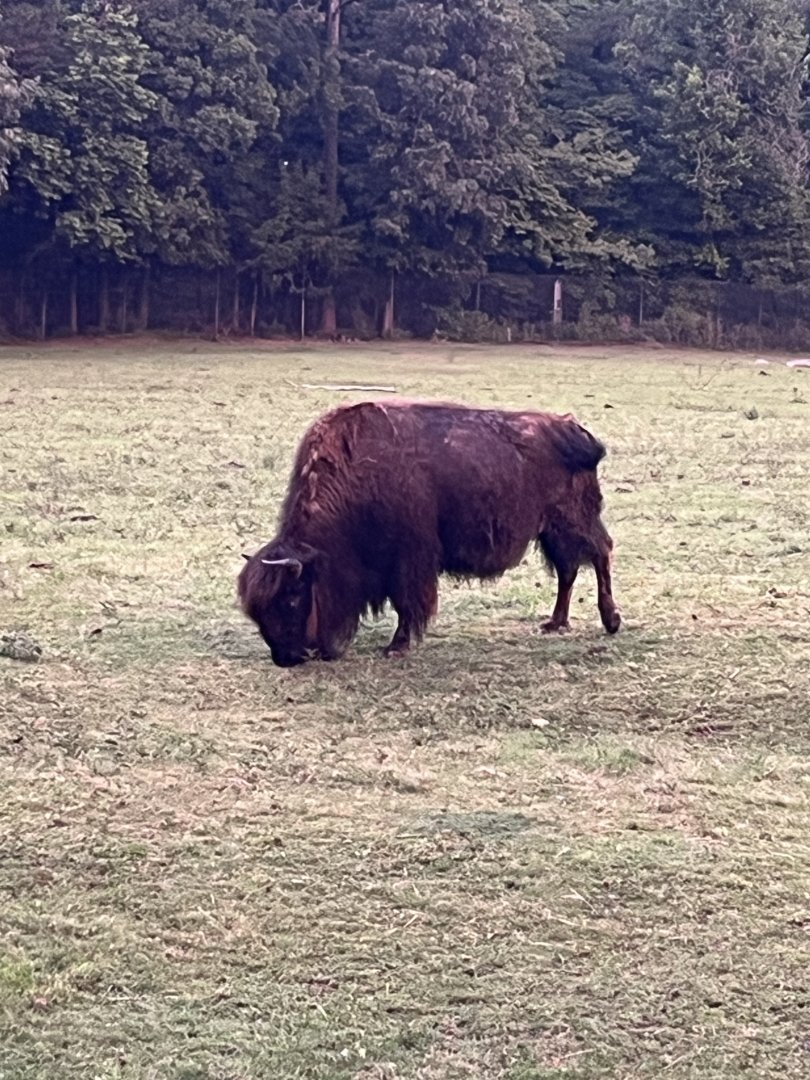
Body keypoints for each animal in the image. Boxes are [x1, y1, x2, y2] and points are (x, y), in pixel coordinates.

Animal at [238, 399, 620, 666]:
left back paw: (610, 621)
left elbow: (407, 603)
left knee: (600, 553)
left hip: (573, 521)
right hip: (552, 532)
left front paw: (397, 645)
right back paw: (555, 623)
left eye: (291, 597)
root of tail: (575, 430)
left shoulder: (409, 560)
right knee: (569, 570)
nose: (286, 659)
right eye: (256, 611)